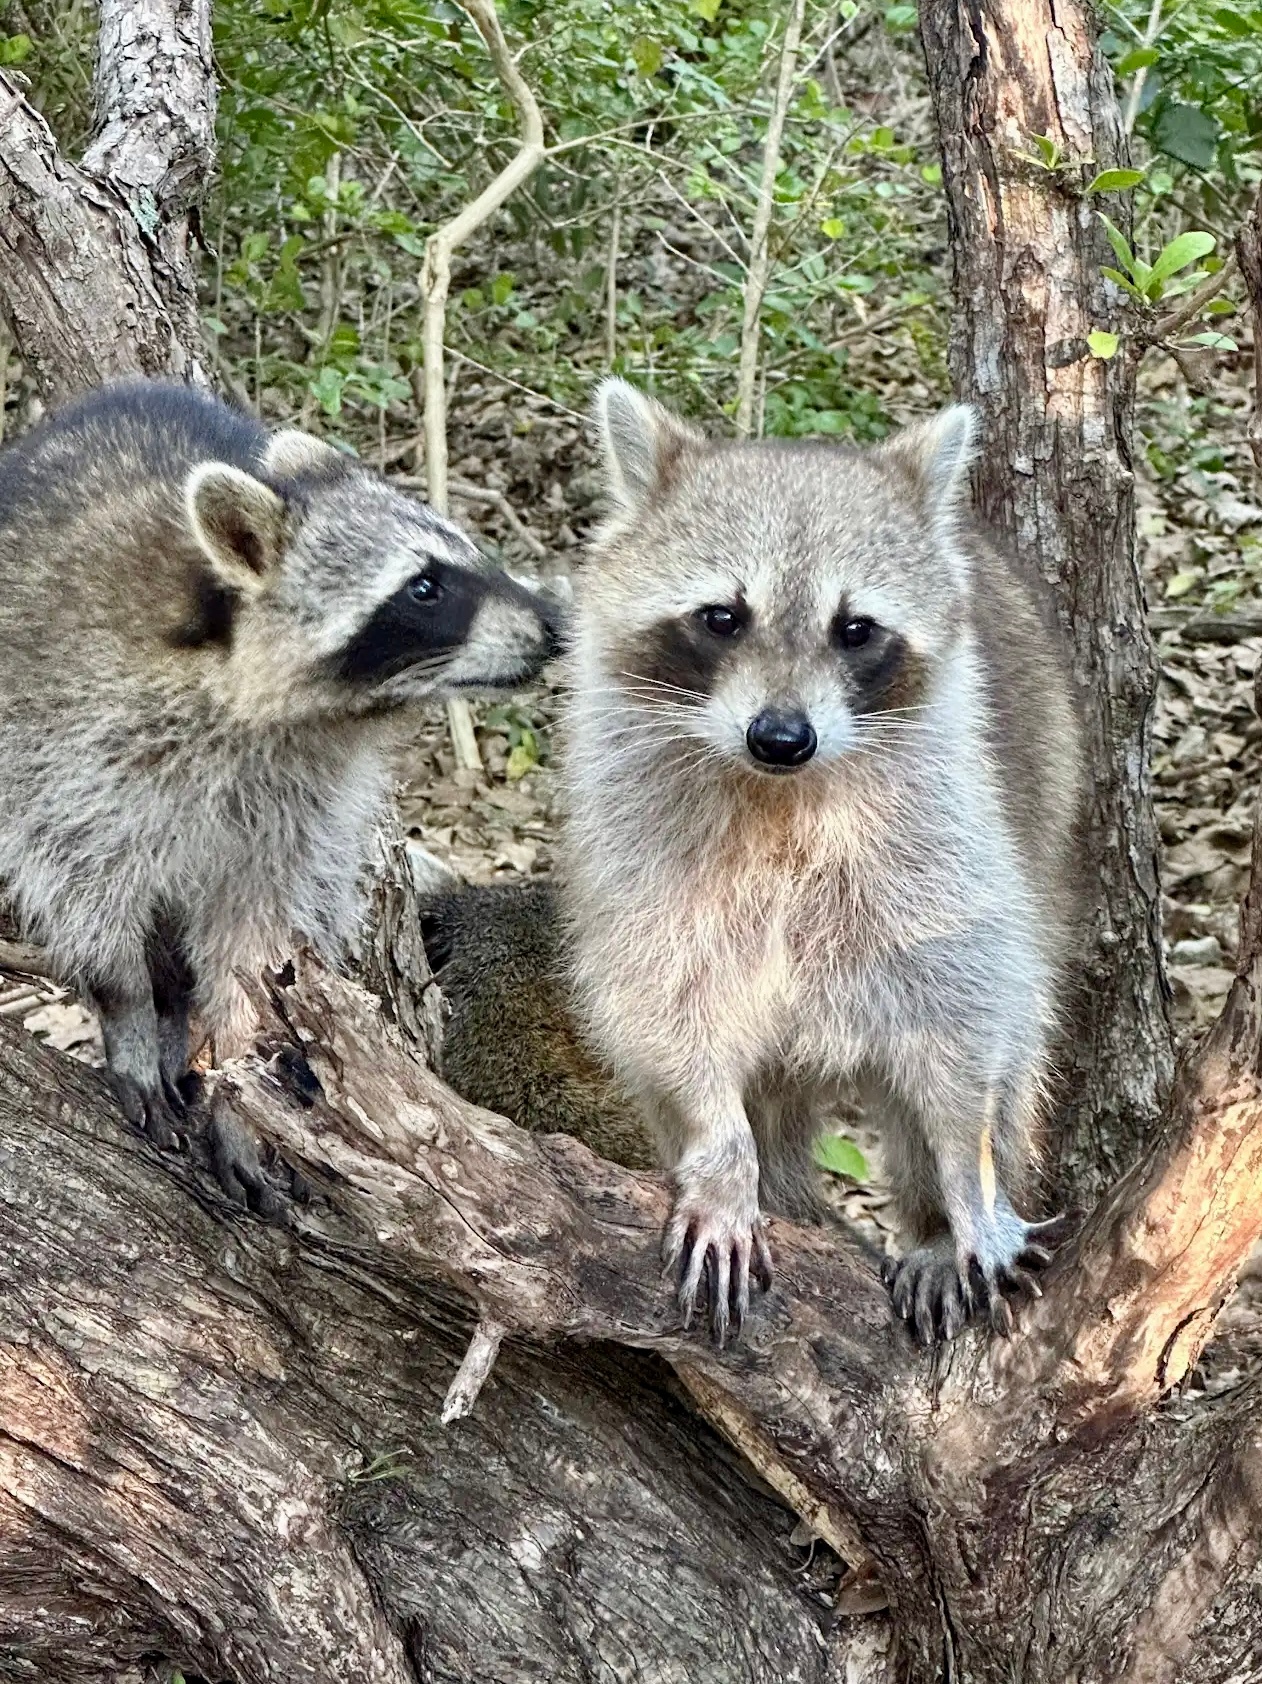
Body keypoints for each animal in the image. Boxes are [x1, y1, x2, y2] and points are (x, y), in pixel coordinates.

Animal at [0, 381, 557, 1154]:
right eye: (424, 587)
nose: (557, 623)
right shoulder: (75, 741)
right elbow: (85, 888)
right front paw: (128, 1010)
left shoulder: (303, 800)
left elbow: (261, 937)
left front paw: (244, 1071)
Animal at [560, 378, 1082, 1345]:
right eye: (722, 618)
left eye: (856, 630)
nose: (781, 737)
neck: (779, 796)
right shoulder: (640, 856)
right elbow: (664, 1011)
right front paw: (722, 1159)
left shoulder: (946, 842)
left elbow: (969, 1016)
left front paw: (967, 1181)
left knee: (1019, 1019)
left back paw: (931, 1218)